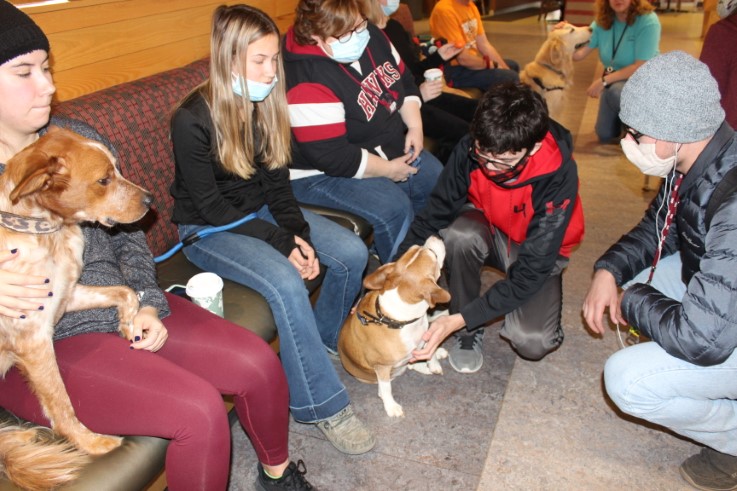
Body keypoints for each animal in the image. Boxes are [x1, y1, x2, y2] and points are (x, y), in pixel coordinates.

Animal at [0, 128, 152, 491]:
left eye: (118, 168)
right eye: (104, 179)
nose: (151, 200)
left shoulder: (66, 294)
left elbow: (126, 291)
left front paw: (129, 325)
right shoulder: (34, 338)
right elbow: (60, 401)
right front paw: (91, 442)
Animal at [338, 238, 448, 418]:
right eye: (434, 254)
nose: (435, 236)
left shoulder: (424, 334)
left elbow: (429, 348)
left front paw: (433, 361)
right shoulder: (382, 367)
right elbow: (386, 389)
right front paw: (391, 406)